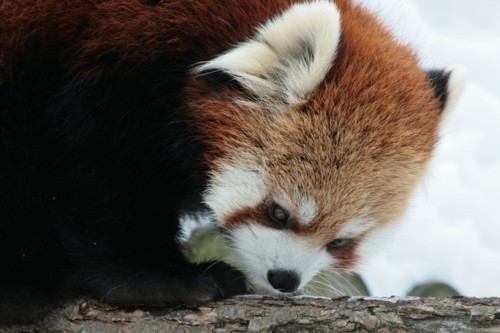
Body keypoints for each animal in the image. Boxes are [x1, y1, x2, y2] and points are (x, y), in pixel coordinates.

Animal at [0, 0, 464, 324]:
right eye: (279, 213)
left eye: (341, 242)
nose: (284, 279)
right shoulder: (108, 71)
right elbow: (96, 178)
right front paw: (164, 279)